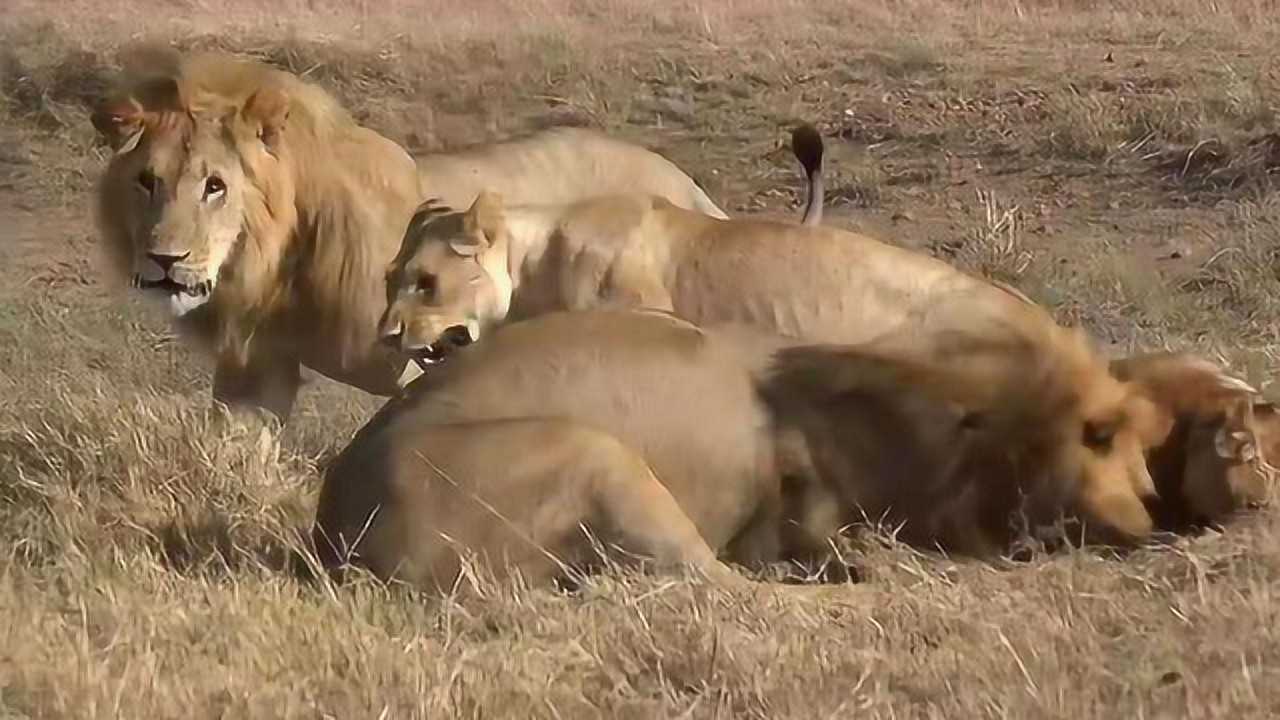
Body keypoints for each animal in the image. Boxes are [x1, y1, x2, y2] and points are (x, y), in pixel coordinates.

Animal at [90, 49, 732, 420]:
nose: (164, 260)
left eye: (215, 186)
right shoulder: (256, 369)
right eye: (147, 182)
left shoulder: (425, 363)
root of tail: (688, 186)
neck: (270, 263)